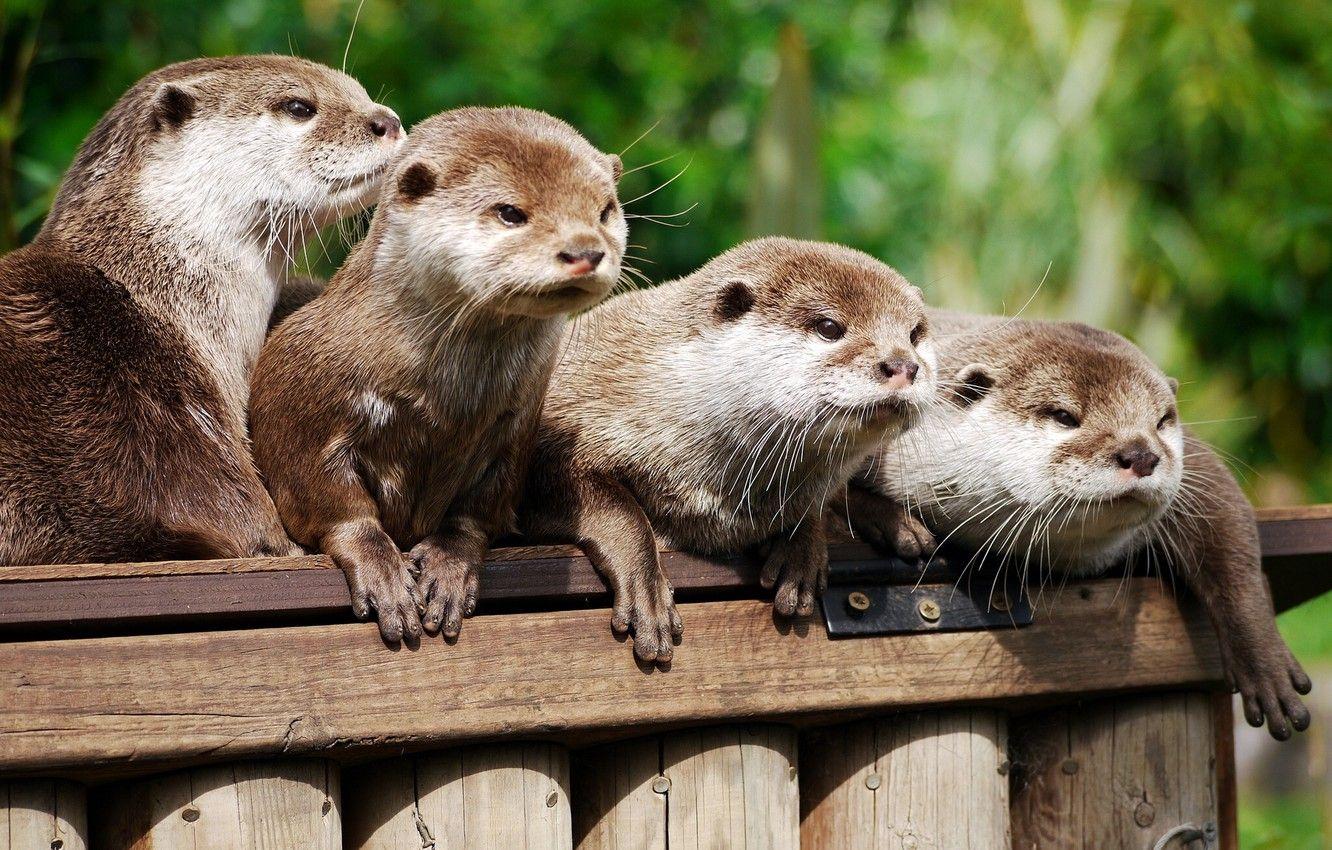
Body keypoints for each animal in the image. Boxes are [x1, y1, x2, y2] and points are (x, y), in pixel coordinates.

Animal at [251, 107, 626, 643]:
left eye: (605, 210)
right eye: (510, 212)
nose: (585, 251)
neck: (445, 407)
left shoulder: (516, 426)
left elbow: (480, 509)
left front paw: (450, 566)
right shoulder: (298, 407)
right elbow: (331, 503)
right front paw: (383, 571)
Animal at [522, 238, 937, 663]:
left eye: (914, 334)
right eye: (829, 327)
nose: (903, 365)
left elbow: (815, 503)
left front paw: (801, 551)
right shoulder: (562, 427)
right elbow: (617, 508)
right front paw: (648, 592)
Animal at [852, 309, 1311, 739]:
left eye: (1162, 421)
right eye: (1063, 415)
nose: (1141, 453)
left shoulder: (1196, 469)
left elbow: (1228, 528)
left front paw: (1266, 664)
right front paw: (895, 523)